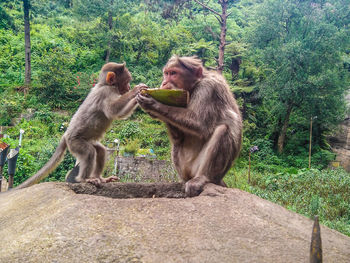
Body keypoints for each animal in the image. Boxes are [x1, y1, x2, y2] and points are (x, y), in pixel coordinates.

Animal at [17, 62, 143, 190]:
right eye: (126, 81)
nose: (128, 87)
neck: (103, 85)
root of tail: (65, 135)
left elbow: (120, 114)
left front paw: (139, 98)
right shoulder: (106, 92)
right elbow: (113, 110)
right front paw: (135, 91)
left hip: (88, 140)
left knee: (101, 150)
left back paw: (100, 177)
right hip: (74, 143)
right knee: (89, 152)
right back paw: (85, 179)